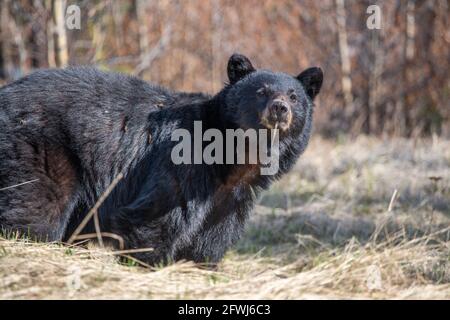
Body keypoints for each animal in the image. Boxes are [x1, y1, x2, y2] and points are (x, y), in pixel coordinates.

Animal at [0, 54, 324, 264]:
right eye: (261, 91)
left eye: (294, 96)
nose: (280, 108)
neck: (236, 159)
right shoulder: (184, 161)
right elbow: (155, 217)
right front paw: (150, 264)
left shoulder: (235, 195)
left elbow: (214, 235)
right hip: (42, 146)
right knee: (37, 206)